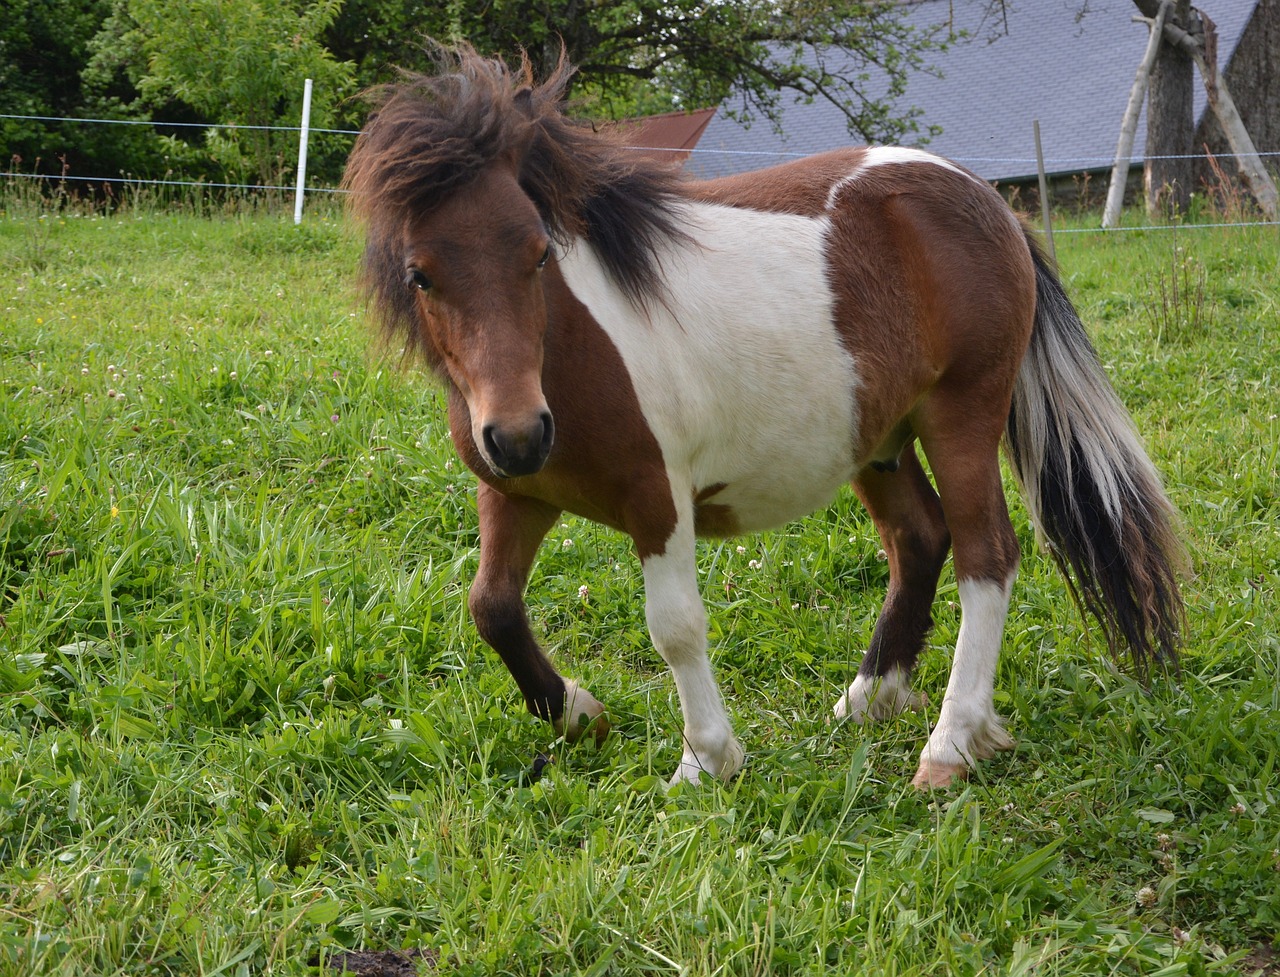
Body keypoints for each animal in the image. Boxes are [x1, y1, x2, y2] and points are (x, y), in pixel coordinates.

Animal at [337, 49, 1177, 788]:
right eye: (420, 274)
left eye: (538, 254)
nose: (517, 434)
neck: (566, 352)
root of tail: (982, 193)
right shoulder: (515, 493)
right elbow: (492, 608)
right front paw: (579, 712)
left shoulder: (657, 499)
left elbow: (675, 626)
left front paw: (705, 760)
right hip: (879, 437)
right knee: (919, 539)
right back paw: (869, 697)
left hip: (961, 417)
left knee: (986, 555)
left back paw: (948, 743)